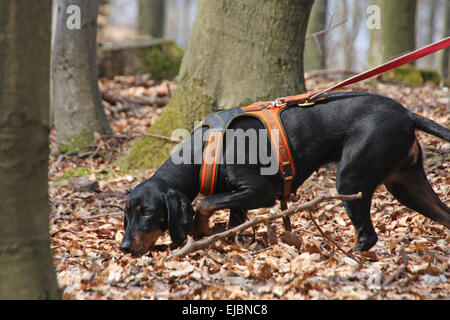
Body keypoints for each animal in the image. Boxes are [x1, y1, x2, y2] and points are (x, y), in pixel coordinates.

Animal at [119, 92, 450, 258]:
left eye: (148, 212)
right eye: (127, 214)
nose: (123, 247)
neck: (204, 151)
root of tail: (406, 113)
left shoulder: (261, 192)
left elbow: (203, 203)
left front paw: (200, 228)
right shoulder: (239, 200)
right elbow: (229, 222)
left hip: (350, 179)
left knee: (368, 236)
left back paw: (345, 256)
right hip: (408, 185)